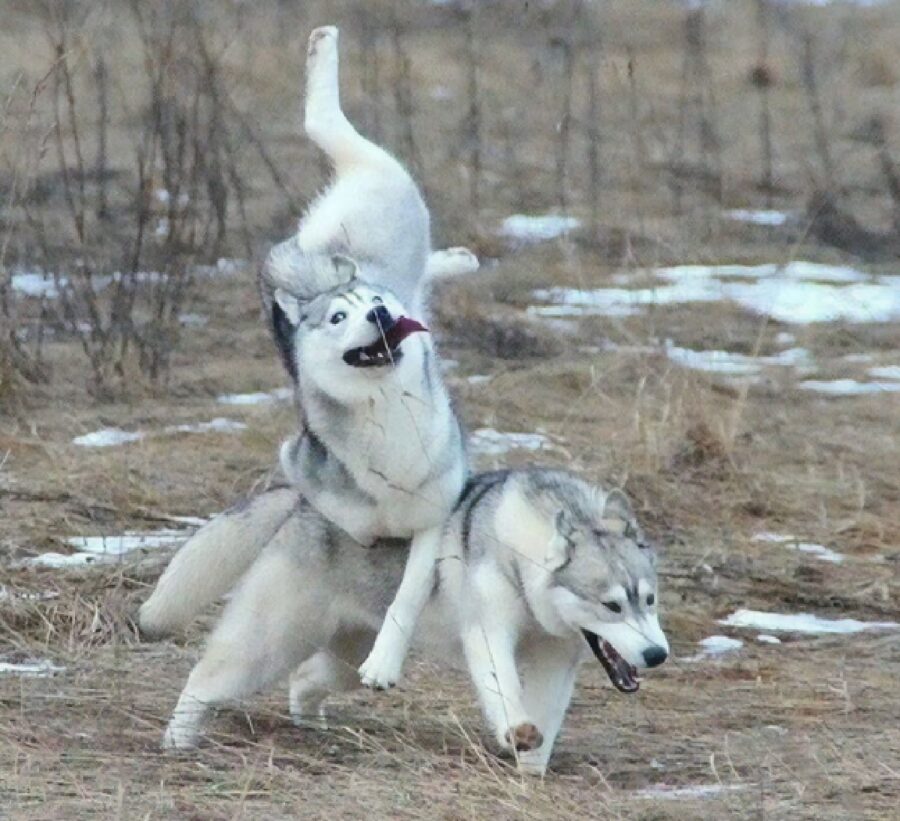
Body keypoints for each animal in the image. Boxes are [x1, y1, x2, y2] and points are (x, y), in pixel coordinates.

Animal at [158, 468, 668, 776]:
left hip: (350, 658)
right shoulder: (488, 634)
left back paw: (311, 726)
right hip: (270, 642)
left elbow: (545, 717)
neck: (522, 554)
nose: (657, 654)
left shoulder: (556, 660)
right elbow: (505, 690)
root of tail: (302, 499)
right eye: (612, 606)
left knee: (305, 678)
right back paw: (178, 740)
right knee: (203, 679)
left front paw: (531, 770)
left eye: (649, 599)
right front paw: (514, 731)